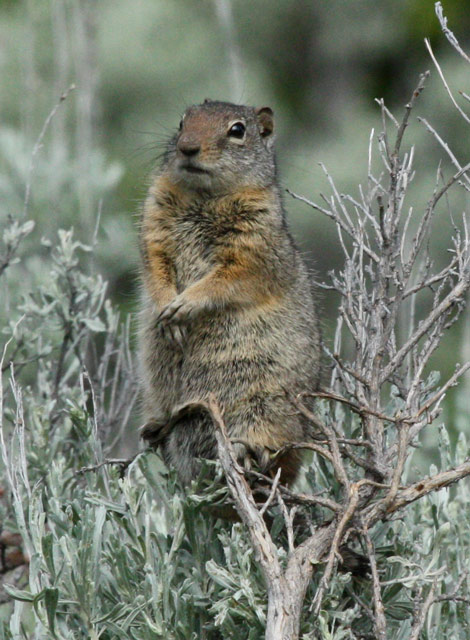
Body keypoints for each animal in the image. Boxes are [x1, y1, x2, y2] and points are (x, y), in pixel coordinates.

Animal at [138, 99, 321, 486]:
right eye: (182, 122)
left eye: (238, 130)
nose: (187, 147)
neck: (204, 197)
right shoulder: (153, 226)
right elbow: (155, 267)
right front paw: (166, 308)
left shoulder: (254, 246)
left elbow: (228, 279)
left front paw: (184, 306)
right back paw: (155, 427)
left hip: (263, 405)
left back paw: (250, 452)